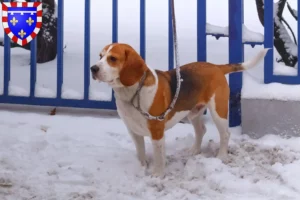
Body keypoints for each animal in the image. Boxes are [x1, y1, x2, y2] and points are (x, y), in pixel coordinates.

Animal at [90, 43, 268, 177]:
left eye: (113, 59)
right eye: (100, 56)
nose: (93, 68)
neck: (133, 92)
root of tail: (216, 67)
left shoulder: (156, 130)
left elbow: (158, 156)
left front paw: (157, 175)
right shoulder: (133, 130)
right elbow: (141, 151)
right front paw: (141, 166)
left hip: (218, 111)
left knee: (225, 134)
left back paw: (222, 156)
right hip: (194, 112)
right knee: (201, 130)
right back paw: (194, 150)